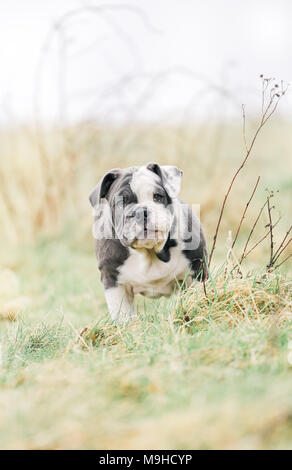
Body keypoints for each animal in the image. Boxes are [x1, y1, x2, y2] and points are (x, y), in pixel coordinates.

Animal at [89, 163, 208, 322]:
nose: (141, 211)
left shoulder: (197, 271)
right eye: (121, 202)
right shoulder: (113, 282)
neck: (149, 252)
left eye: (157, 196)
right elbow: (123, 315)